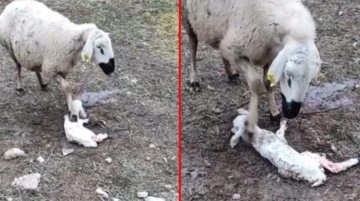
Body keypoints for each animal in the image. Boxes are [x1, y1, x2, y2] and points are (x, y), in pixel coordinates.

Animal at [183, 0, 320, 133]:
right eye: (288, 77)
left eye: (309, 80)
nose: (291, 113)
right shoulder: (237, 52)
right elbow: (255, 83)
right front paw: (252, 118)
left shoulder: (270, 57)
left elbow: (268, 82)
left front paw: (274, 113)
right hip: (187, 14)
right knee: (193, 42)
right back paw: (194, 80)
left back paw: (230, 74)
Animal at [231, 108, 360, 187]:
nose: (232, 128)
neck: (256, 136)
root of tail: (319, 175)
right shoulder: (279, 137)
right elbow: (280, 131)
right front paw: (283, 123)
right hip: (306, 157)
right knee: (332, 166)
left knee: (333, 168)